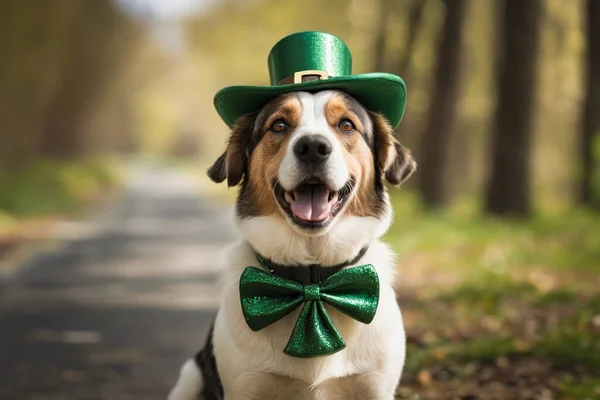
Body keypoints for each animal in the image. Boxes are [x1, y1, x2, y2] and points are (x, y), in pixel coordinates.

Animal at [166, 90, 414, 400]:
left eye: (346, 125)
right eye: (279, 125)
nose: (313, 147)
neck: (312, 282)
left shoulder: (375, 387)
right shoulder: (245, 386)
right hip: (190, 376)